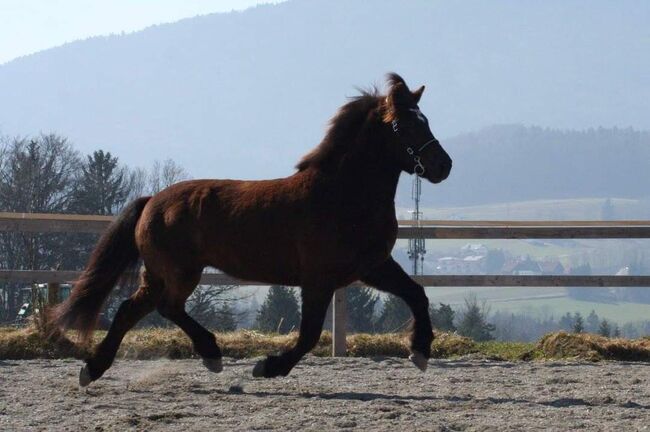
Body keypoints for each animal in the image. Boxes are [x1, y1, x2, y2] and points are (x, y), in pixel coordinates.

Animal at [50, 72, 450, 386]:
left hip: (159, 274)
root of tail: (152, 201)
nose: (443, 166)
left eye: (426, 119)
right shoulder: (318, 279)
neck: (342, 196)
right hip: (180, 272)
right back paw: (211, 354)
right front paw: (268, 367)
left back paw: (93, 369)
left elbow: (416, 294)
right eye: (405, 125)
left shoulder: (372, 266)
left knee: (130, 310)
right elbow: (308, 335)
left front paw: (420, 352)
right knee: (167, 307)